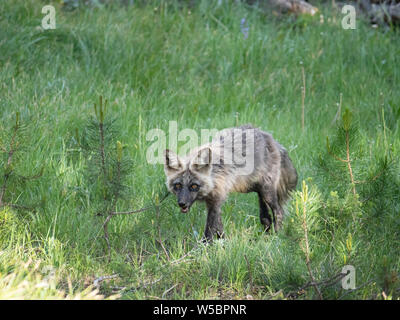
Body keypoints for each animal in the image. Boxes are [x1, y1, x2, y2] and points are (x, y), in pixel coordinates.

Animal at [162, 124, 296, 241]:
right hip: (255, 189)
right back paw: (265, 236)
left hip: (266, 192)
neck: (213, 176)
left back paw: (276, 235)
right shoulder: (214, 202)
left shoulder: (216, 200)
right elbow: (219, 227)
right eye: (178, 185)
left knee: (279, 212)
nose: (182, 204)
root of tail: (270, 137)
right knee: (265, 217)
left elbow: (209, 230)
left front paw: (205, 248)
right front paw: (223, 242)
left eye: (194, 186)